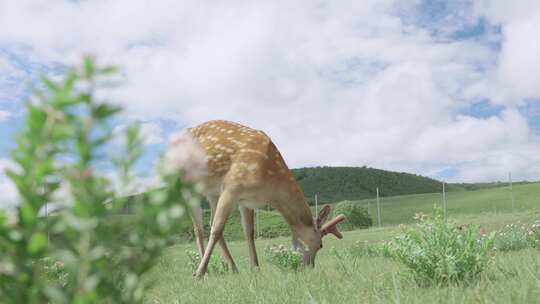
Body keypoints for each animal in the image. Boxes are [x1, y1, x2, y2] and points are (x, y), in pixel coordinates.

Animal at [166, 120, 346, 280]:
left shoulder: (246, 201)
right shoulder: (232, 186)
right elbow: (217, 229)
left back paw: (233, 268)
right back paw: (206, 272)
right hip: (187, 184)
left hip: (212, 192)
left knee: (209, 222)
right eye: (320, 244)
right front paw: (198, 274)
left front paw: (256, 269)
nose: (309, 267)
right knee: (199, 228)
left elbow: (249, 232)